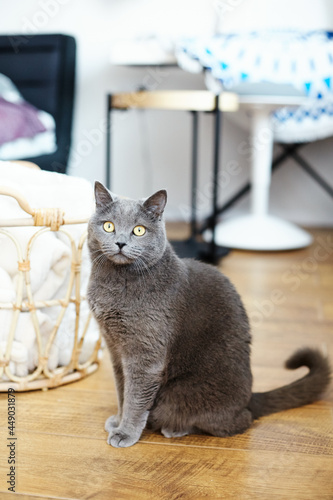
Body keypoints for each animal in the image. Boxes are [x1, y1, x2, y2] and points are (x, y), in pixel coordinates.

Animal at [87, 183, 330, 450]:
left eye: (139, 230)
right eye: (108, 226)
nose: (120, 242)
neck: (114, 283)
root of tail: (249, 399)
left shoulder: (145, 354)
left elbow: (135, 397)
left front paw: (125, 432)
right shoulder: (115, 346)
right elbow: (122, 390)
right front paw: (118, 420)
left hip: (182, 394)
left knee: (238, 422)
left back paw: (175, 428)